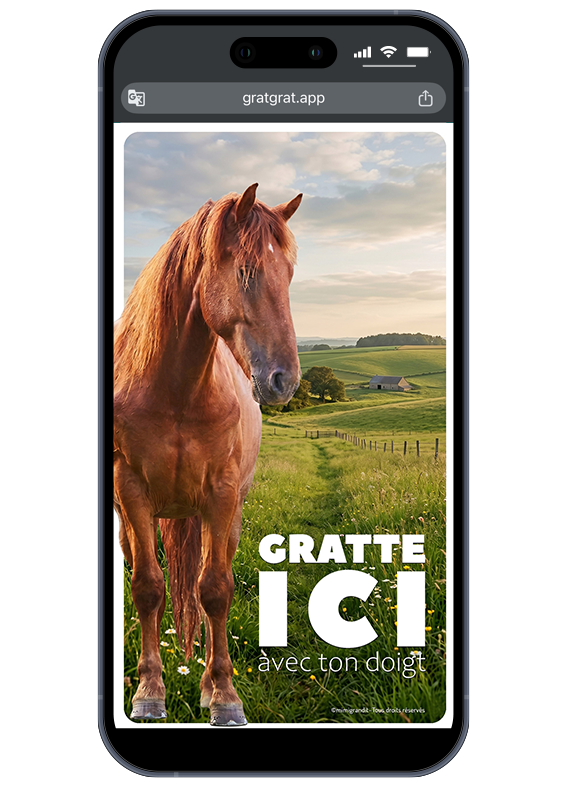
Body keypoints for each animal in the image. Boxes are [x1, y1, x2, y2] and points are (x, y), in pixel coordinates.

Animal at [113, 184, 302, 726]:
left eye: (289, 273)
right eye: (245, 272)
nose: (285, 380)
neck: (175, 392)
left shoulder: (220, 494)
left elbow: (215, 590)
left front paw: (222, 696)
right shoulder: (131, 490)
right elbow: (148, 587)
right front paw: (148, 691)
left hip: (225, 514)